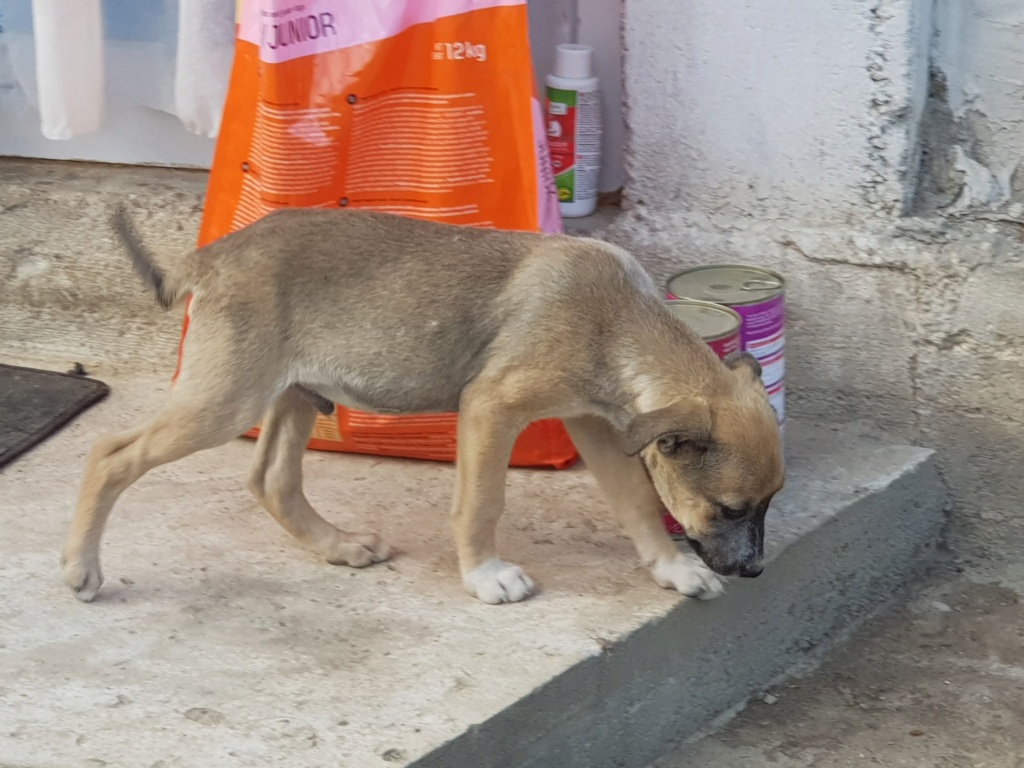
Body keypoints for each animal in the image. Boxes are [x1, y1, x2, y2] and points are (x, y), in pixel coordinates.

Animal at [61, 207, 782, 606]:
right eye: (728, 509)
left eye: (767, 505)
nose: (756, 571)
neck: (620, 321)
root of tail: (209, 257)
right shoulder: (492, 405)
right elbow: (482, 501)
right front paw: (486, 576)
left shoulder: (595, 421)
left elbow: (634, 498)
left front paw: (673, 570)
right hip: (226, 398)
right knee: (108, 453)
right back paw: (80, 567)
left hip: (294, 393)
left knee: (271, 480)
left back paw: (341, 547)